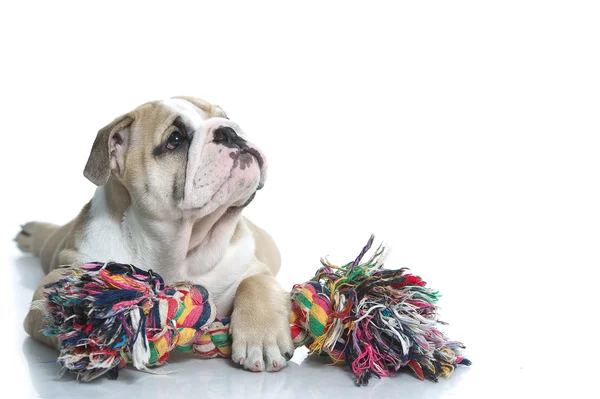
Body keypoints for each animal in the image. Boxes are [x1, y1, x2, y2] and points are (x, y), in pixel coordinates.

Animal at [15, 97, 294, 376]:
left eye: (225, 116)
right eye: (175, 139)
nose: (229, 131)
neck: (183, 250)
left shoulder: (253, 267)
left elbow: (255, 283)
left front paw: (261, 338)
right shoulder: (58, 280)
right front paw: (90, 338)